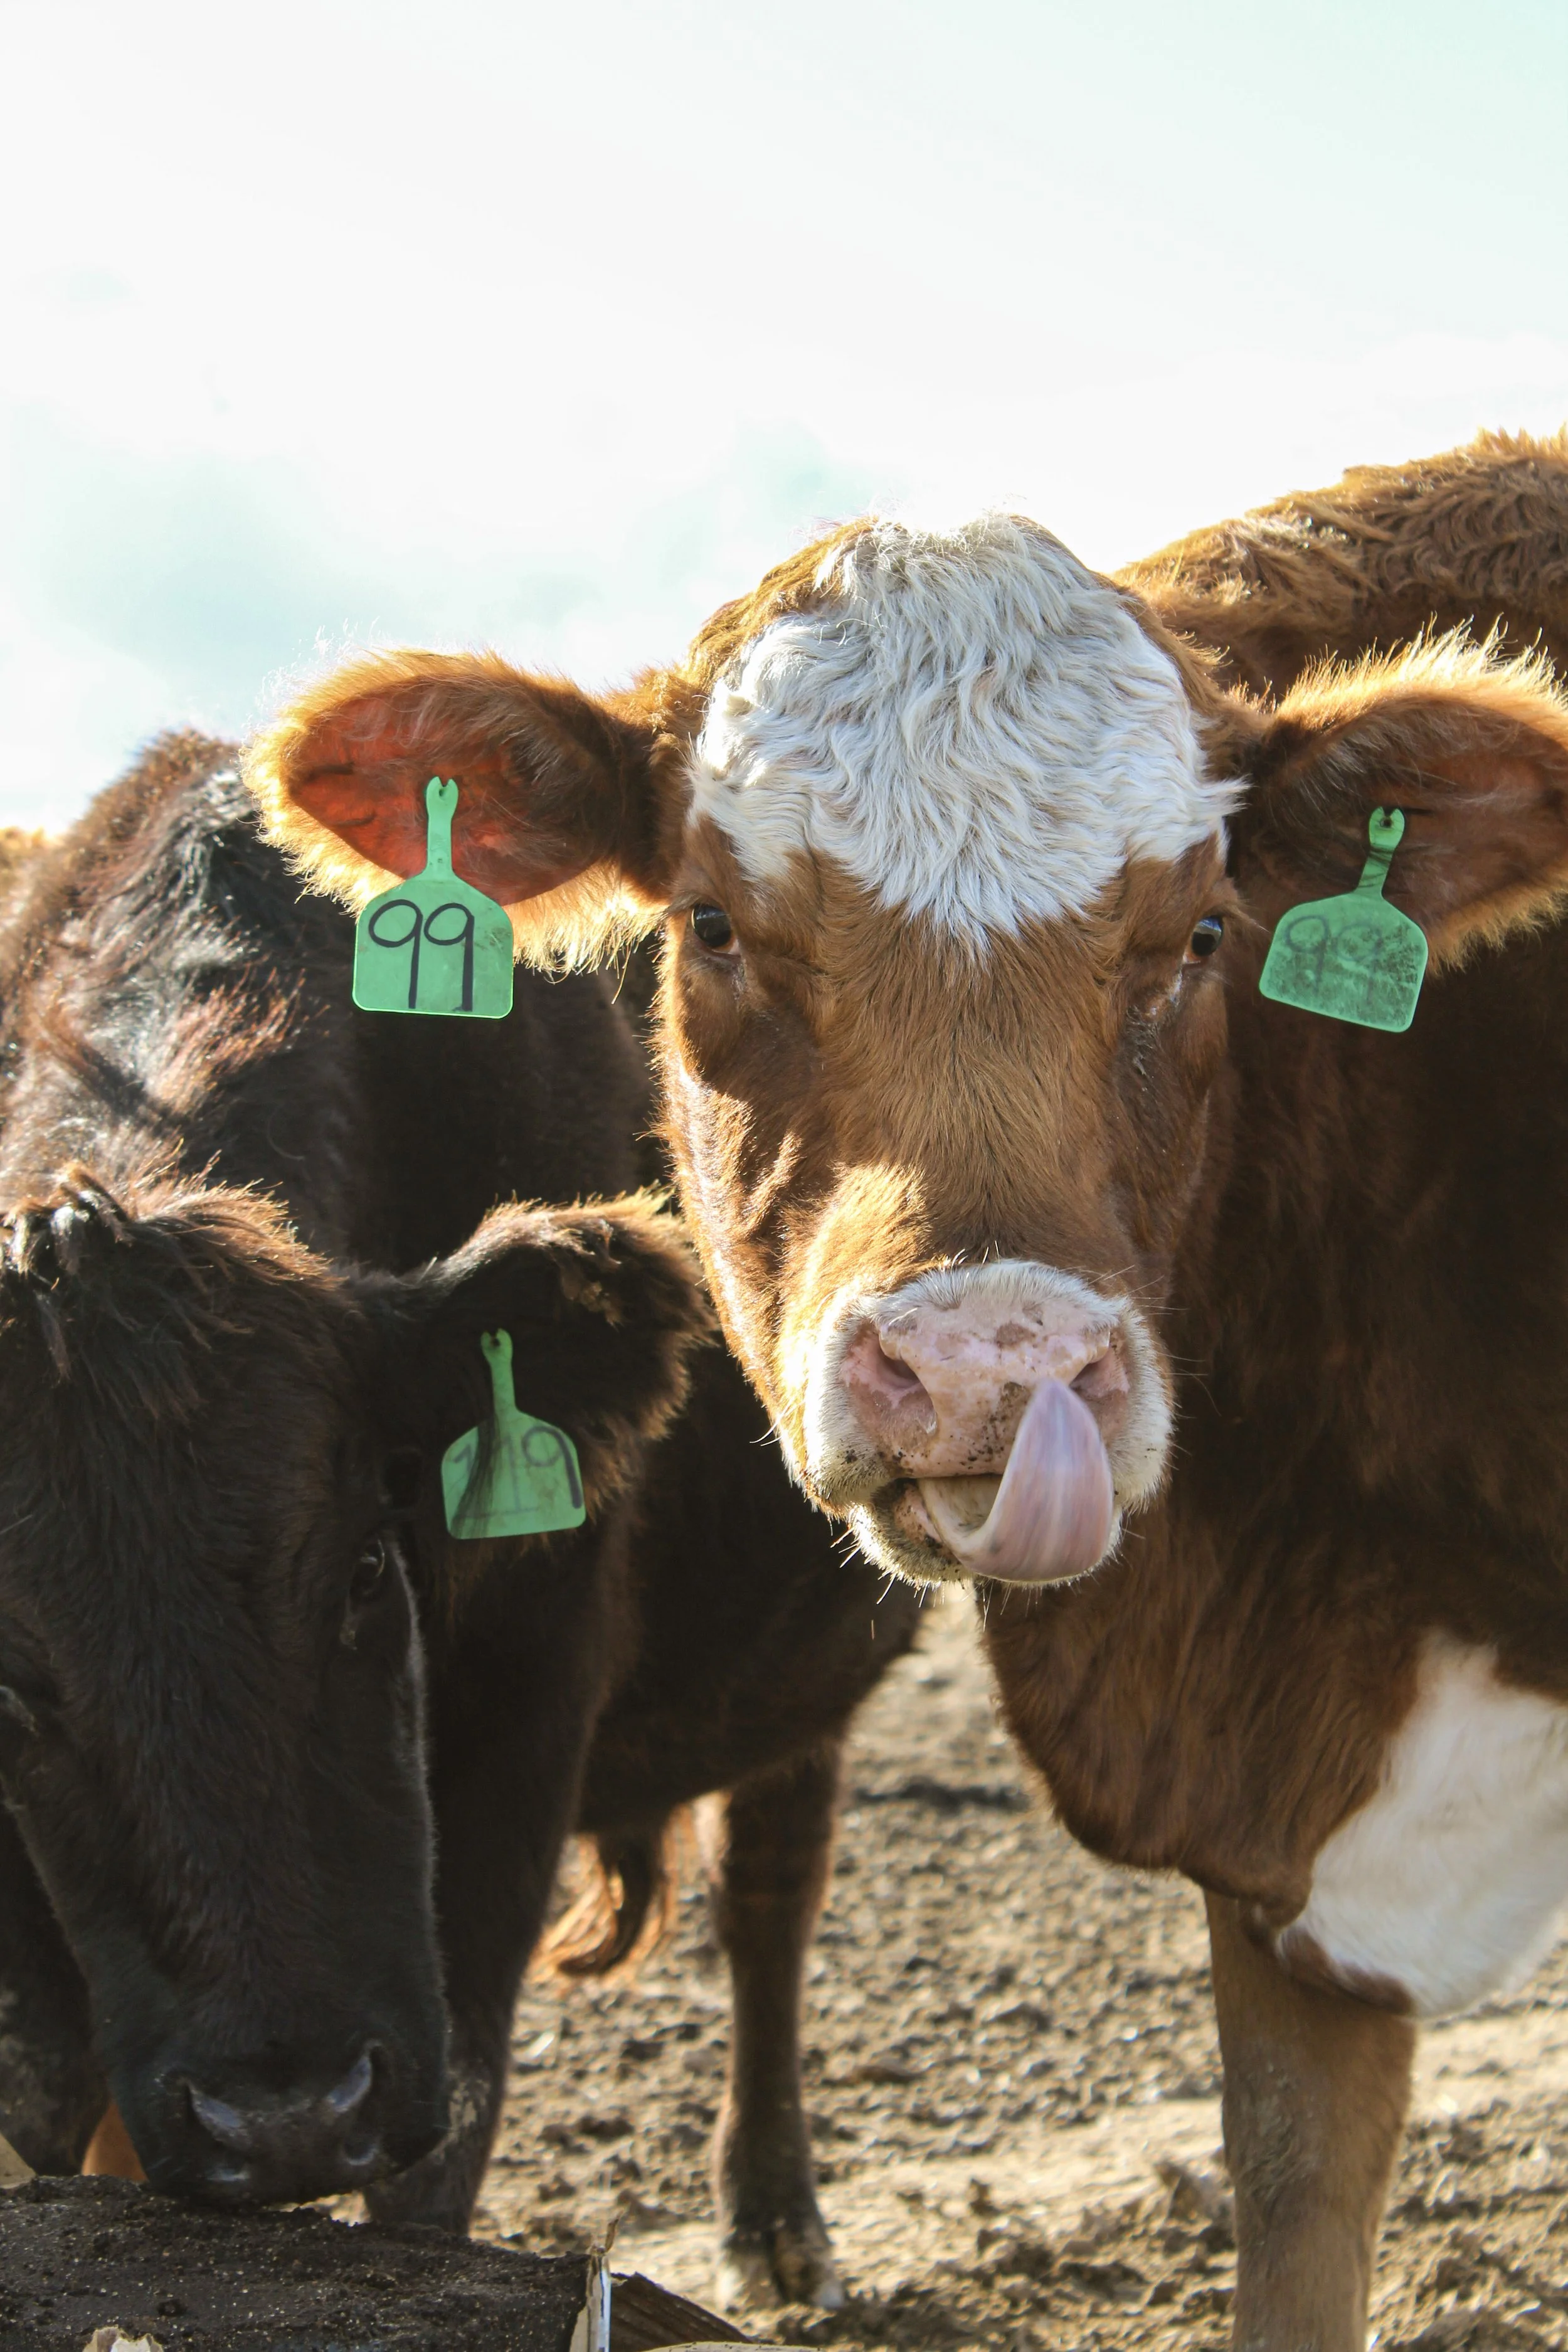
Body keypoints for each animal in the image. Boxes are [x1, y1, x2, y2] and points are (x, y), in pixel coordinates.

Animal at [0, 733, 916, 2306]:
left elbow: (437, 2162)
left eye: (372, 1566)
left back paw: (776, 2223)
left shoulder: (527, 1694)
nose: (291, 2115)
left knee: (767, 1894)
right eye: (9, 1677)